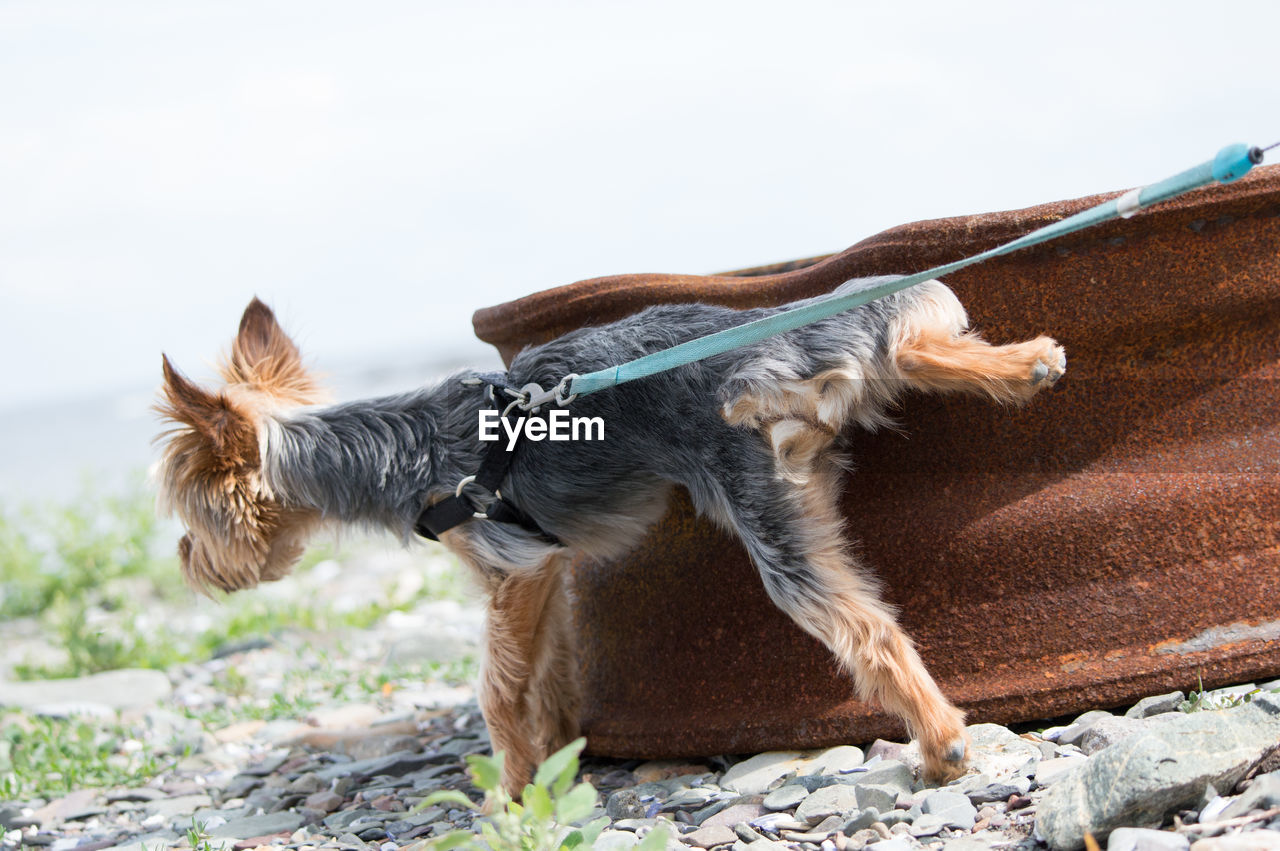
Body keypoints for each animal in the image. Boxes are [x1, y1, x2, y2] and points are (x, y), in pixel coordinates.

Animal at [154, 277, 1064, 788]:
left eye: (191, 520)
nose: (187, 564)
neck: (397, 446)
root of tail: (764, 335)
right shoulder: (546, 571)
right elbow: (547, 671)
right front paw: (556, 753)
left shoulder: (509, 566)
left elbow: (496, 690)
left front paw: (509, 791)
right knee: (911, 348)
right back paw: (1026, 362)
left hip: (767, 516)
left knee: (868, 630)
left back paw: (941, 746)